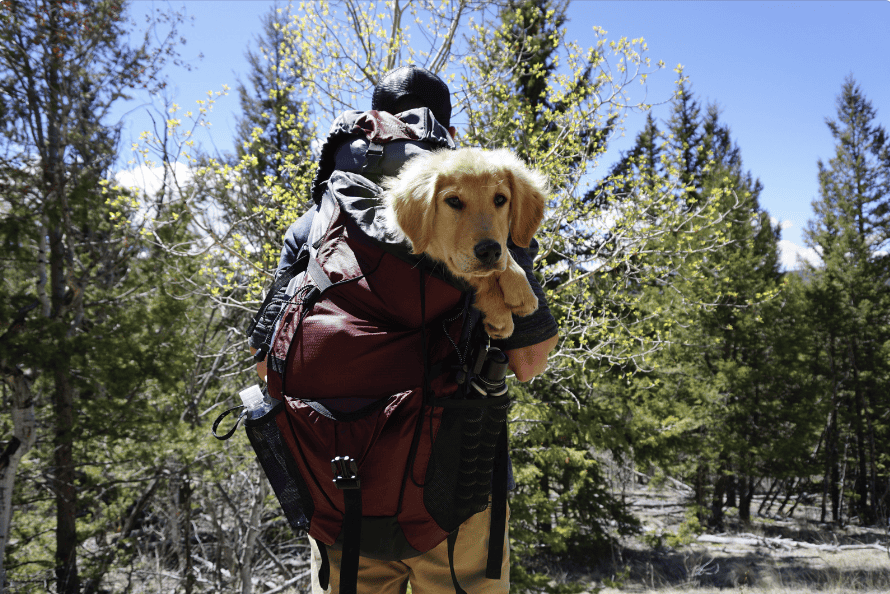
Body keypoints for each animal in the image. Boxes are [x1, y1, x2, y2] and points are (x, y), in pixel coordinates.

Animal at [384, 147, 548, 338]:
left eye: (500, 199)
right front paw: (500, 311)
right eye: (454, 200)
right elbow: (474, 274)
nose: (490, 251)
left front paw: (520, 287)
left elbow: (503, 254)